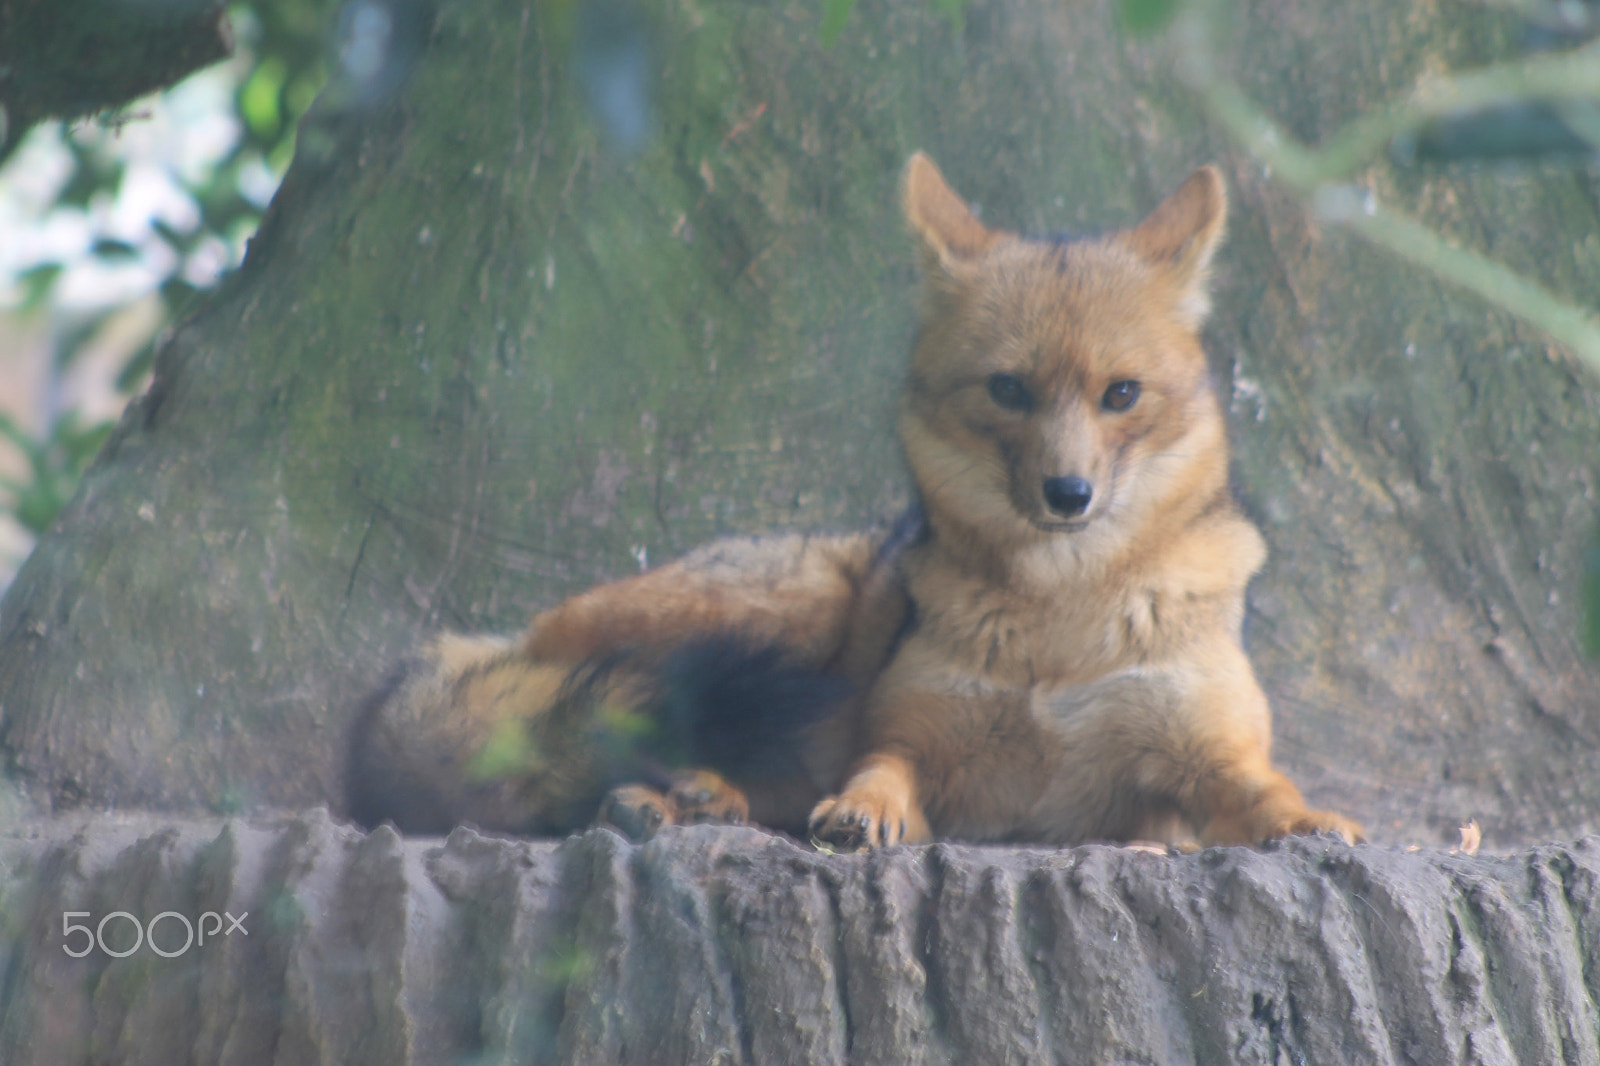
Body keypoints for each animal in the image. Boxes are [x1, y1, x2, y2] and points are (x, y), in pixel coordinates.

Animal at [347, 152, 1364, 851]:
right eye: (1008, 390)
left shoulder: (1199, 764)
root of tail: (501, 639)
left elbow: (1265, 794)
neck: (1062, 624)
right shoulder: (910, 738)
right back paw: (675, 796)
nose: (1067, 495)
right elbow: (879, 772)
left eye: (1121, 394)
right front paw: (862, 811)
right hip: (788, 613)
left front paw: (1314, 820)